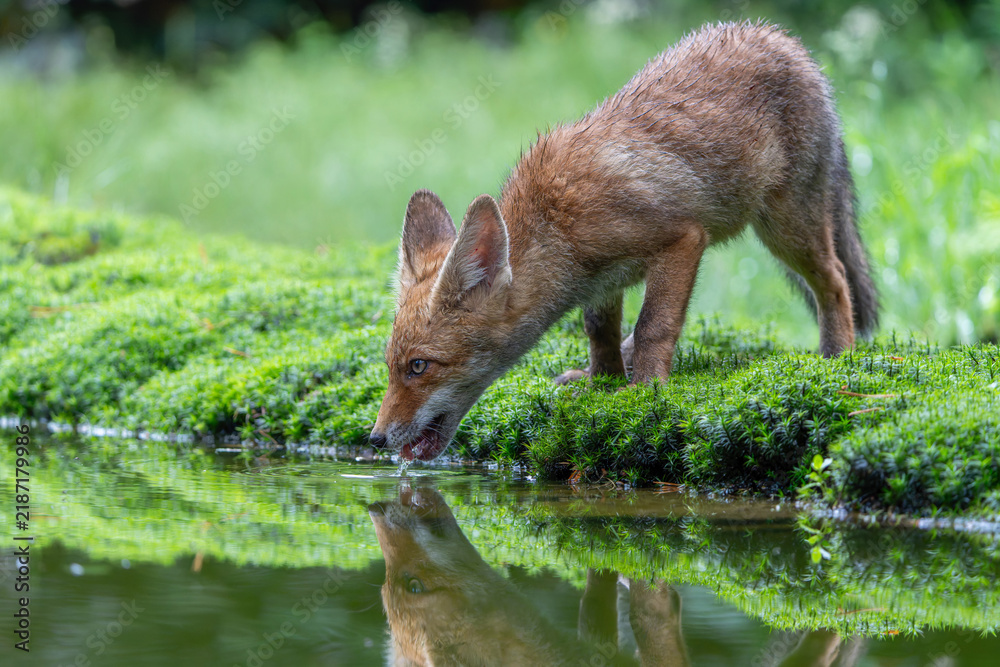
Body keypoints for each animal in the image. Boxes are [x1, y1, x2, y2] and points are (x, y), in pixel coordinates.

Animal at [369, 21, 879, 461]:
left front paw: (645, 394)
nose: (375, 439)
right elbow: (601, 332)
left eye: (420, 366)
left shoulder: (682, 240)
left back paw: (837, 357)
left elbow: (654, 326)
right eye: (391, 365)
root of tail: (783, 40)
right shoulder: (604, 282)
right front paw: (604, 383)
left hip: (785, 229)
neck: (559, 227)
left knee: (837, 281)